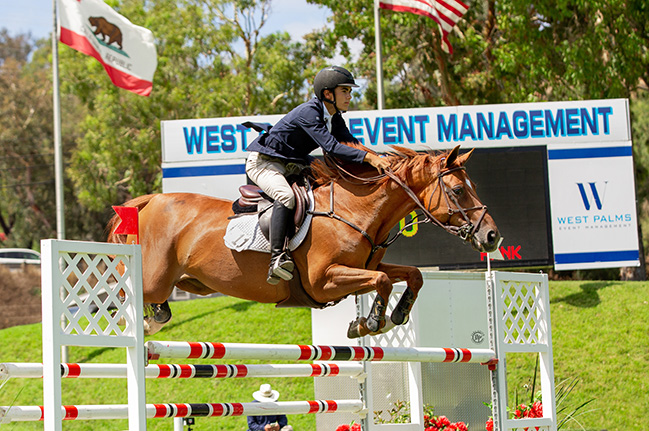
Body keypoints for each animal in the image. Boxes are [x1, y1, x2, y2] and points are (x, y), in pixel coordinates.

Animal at [109, 147, 498, 340]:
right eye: (458, 190)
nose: (492, 236)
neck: (355, 210)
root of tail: (150, 201)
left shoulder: (362, 269)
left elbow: (410, 274)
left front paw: (394, 314)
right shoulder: (324, 280)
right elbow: (384, 280)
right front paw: (372, 322)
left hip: (187, 283)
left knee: (158, 304)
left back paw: (153, 320)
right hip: (155, 278)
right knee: (125, 291)